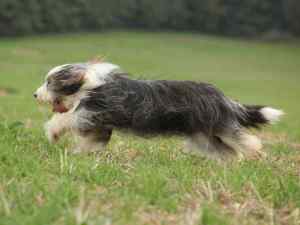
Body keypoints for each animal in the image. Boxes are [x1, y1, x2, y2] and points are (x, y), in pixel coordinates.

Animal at [34, 59, 282, 158]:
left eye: (49, 82)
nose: (35, 95)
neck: (91, 85)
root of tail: (223, 97)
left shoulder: (93, 112)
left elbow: (67, 119)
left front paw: (53, 132)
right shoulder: (99, 124)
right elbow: (93, 140)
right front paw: (80, 153)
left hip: (219, 125)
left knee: (246, 140)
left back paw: (255, 154)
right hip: (202, 136)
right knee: (227, 151)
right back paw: (229, 165)